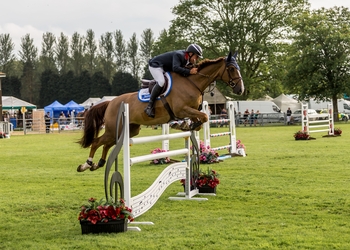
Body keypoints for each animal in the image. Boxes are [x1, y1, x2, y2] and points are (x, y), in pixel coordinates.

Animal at [78, 50, 245, 172]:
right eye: (231, 69)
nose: (240, 90)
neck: (192, 82)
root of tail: (110, 102)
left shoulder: (190, 111)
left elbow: (200, 120)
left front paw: (187, 126)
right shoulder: (182, 110)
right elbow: (204, 116)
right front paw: (185, 125)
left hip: (128, 131)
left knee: (106, 144)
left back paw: (98, 163)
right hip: (114, 129)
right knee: (96, 142)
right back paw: (86, 165)